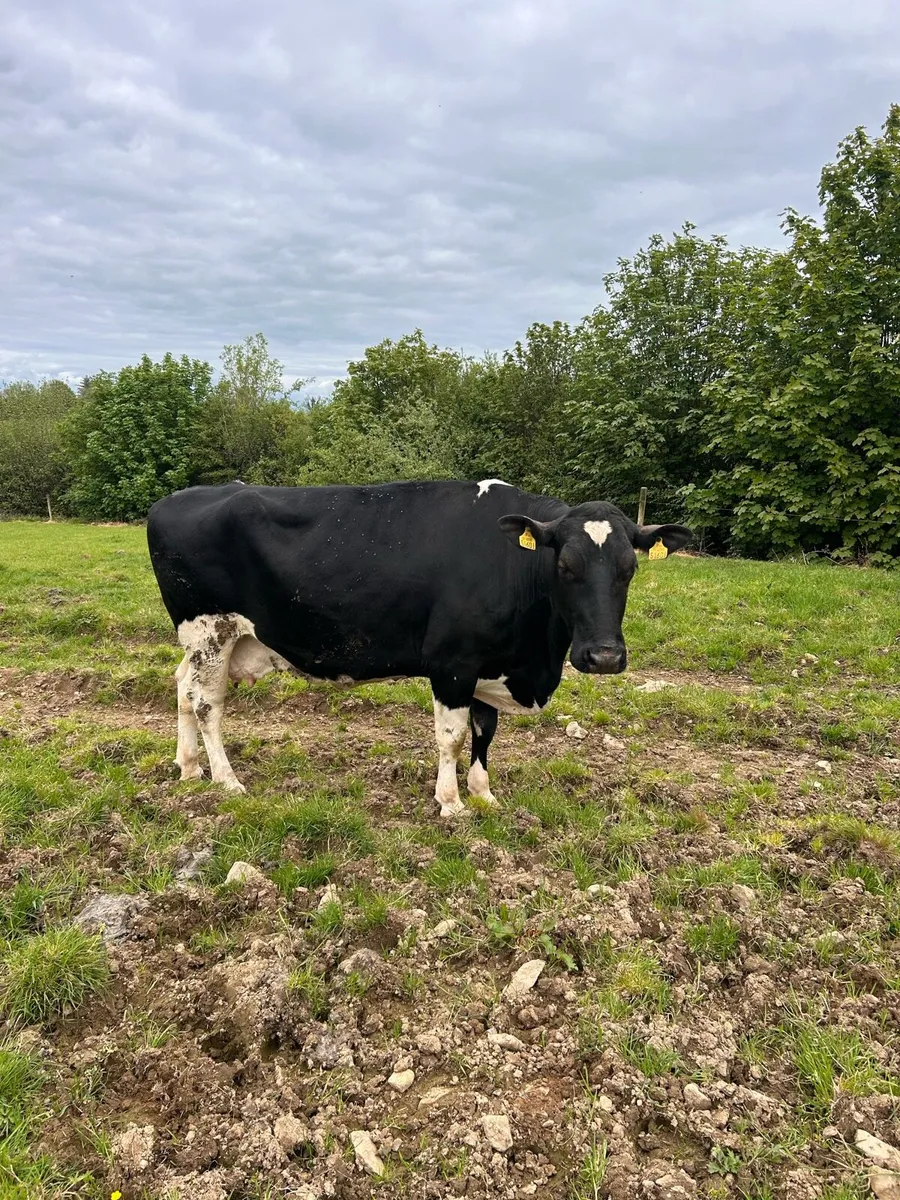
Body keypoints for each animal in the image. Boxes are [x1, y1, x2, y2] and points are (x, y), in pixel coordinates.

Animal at [146, 480, 691, 818]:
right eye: (565, 566)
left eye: (629, 568)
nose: (605, 657)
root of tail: (177, 498)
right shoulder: (453, 664)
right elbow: (452, 736)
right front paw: (450, 803)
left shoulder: (486, 664)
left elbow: (485, 733)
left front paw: (484, 796)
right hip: (210, 631)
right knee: (206, 705)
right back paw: (226, 780)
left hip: (208, 643)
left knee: (182, 688)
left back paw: (189, 768)